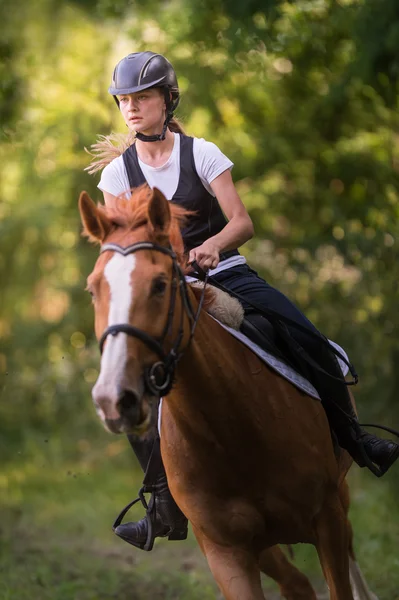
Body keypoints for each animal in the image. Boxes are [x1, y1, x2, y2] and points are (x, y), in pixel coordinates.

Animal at [79, 185, 378, 596]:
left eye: (159, 285)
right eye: (93, 290)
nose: (114, 398)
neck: (232, 430)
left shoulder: (327, 518)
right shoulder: (226, 552)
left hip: (339, 500)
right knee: (297, 584)